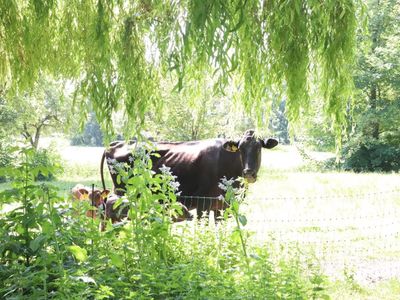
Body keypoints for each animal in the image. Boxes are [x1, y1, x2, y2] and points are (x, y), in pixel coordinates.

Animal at [101, 130, 278, 219]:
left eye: (258, 148)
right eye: (240, 148)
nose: (248, 173)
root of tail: (117, 143)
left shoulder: (223, 206)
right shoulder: (202, 203)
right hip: (122, 196)